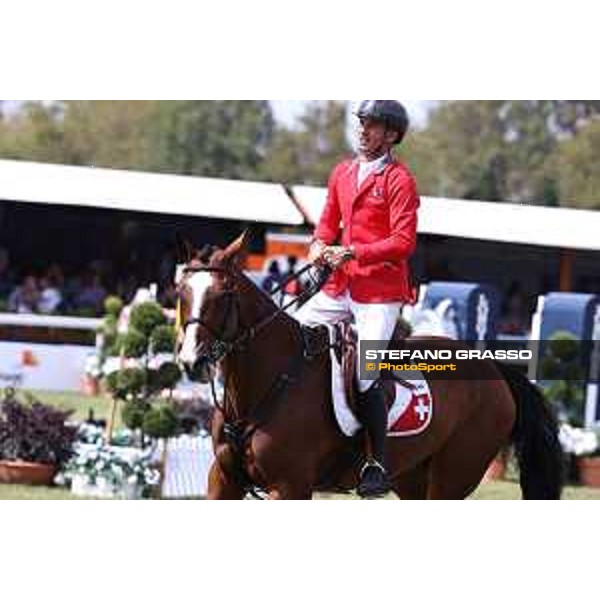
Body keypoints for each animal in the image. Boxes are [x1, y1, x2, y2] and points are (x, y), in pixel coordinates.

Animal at [173, 232, 564, 500]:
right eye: (181, 294)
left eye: (223, 296)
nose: (192, 361)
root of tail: (494, 370)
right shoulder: (223, 481)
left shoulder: (290, 486)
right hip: (412, 477)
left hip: (452, 476)